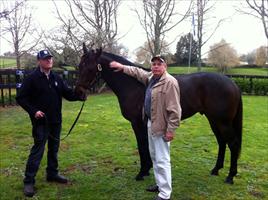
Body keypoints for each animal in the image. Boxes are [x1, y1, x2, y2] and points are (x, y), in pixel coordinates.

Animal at [75, 45, 243, 184]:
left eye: (90, 69)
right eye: (79, 66)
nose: (79, 93)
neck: (133, 85)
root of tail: (232, 83)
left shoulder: (137, 123)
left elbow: (142, 146)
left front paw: (142, 172)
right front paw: (147, 170)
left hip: (222, 122)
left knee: (232, 144)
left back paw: (230, 176)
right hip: (214, 120)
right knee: (222, 142)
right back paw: (216, 170)